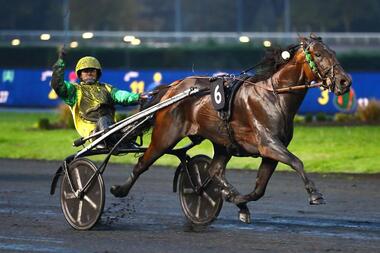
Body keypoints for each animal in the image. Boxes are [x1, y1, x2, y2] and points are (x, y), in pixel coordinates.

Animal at [111, 35, 352, 223]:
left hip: (222, 142)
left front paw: (236, 200)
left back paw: (215, 193)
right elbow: (296, 162)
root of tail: (172, 88)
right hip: (165, 136)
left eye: (333, 52)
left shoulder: (271, 152)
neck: (274, 96)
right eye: (318, 54)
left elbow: (259, 189)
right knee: (142, 164)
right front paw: (315, 194)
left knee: (214, 170)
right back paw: (119, 189)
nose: (344, 81)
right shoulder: (269, 144)